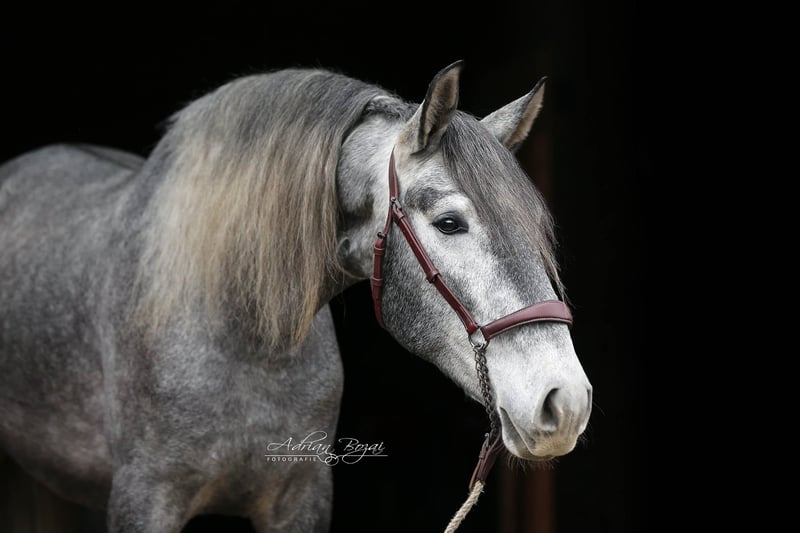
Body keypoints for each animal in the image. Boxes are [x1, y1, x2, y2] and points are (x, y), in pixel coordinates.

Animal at [0, 61, 592, 532]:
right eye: (450, 223)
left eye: (538, 229)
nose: (565, 402)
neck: (239, 330)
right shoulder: (145, 499)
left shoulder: (301, 499)